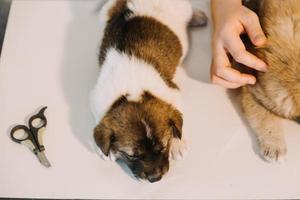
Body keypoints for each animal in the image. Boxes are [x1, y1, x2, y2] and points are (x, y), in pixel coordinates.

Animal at [89, 0, 206, 182]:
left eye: (163, 147)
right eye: (132, 156)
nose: (155, 178)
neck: (133, 89)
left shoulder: (172, 92)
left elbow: (178, 123)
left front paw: (177, 144)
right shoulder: (98, 96)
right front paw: (106, 150)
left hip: (182, 7)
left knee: (190, 10)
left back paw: (199, 16)